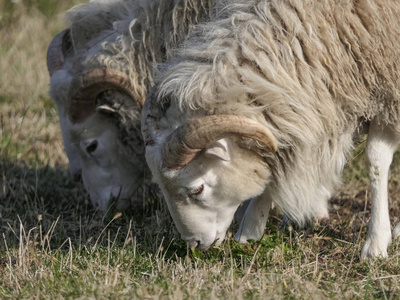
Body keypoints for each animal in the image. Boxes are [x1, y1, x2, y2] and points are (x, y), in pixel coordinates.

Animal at [142, 0, 400, 258]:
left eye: (196, 189)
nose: (194, 244)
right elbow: (270, 165)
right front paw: (249, 230)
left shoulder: (389, 94)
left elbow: (375, 163)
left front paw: (375, 244)